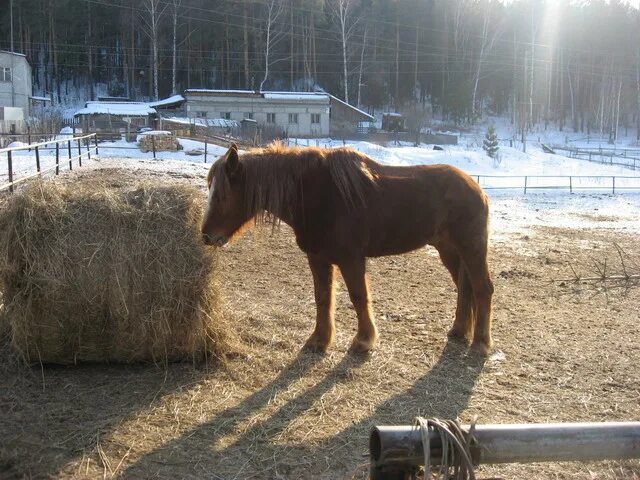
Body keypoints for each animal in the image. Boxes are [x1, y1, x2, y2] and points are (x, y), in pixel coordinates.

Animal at [202, 142, 492, 356]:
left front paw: (364, 341)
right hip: (448, 250)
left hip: (471, 247)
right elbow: (323, 298)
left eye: (223, 195)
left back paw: (481, 344)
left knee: (482, 288)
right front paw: (319, 341)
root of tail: (477, 189)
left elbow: (358, 297)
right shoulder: (318, 259)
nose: (206, 236)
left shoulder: (351, 259)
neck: (318, 195)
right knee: (464, 287)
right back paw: (459, 331)